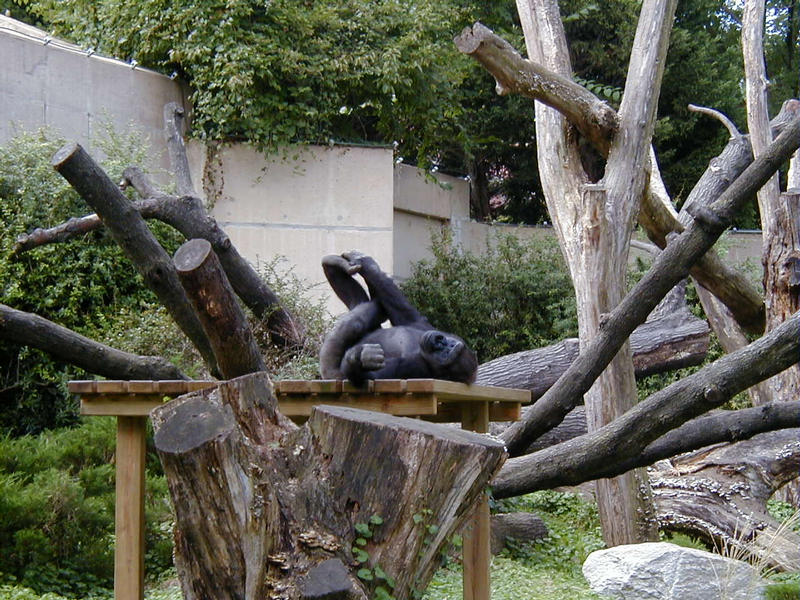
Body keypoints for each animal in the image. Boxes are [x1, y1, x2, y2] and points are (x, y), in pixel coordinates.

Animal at [318, 250, 478, 384]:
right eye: (449, 343)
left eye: (446, 354)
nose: (439, 342)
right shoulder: (424, 326)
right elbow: (403, 311)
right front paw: (368, 264)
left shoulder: (415, 367)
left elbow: (372, 377)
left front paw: (358, 359)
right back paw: (336, 264)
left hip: (332, 373)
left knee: (354, 325)